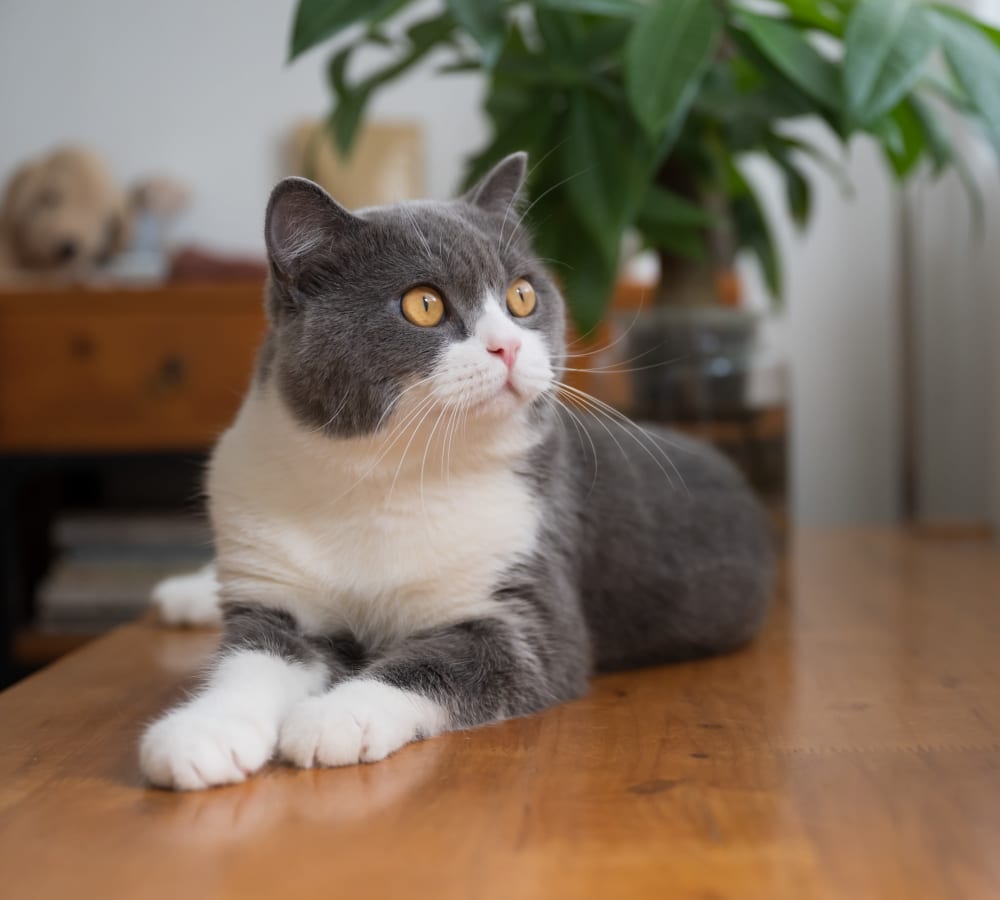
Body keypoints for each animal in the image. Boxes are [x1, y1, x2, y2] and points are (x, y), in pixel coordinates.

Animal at [139, 153, 772, 788]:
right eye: (424, 304)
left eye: (523, 296)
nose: (507, 348)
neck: (382, 479)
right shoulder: (275, 591)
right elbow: (251, 659)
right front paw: (202, 734)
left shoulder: (528, 605)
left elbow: (437, 663)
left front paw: (334, 718)